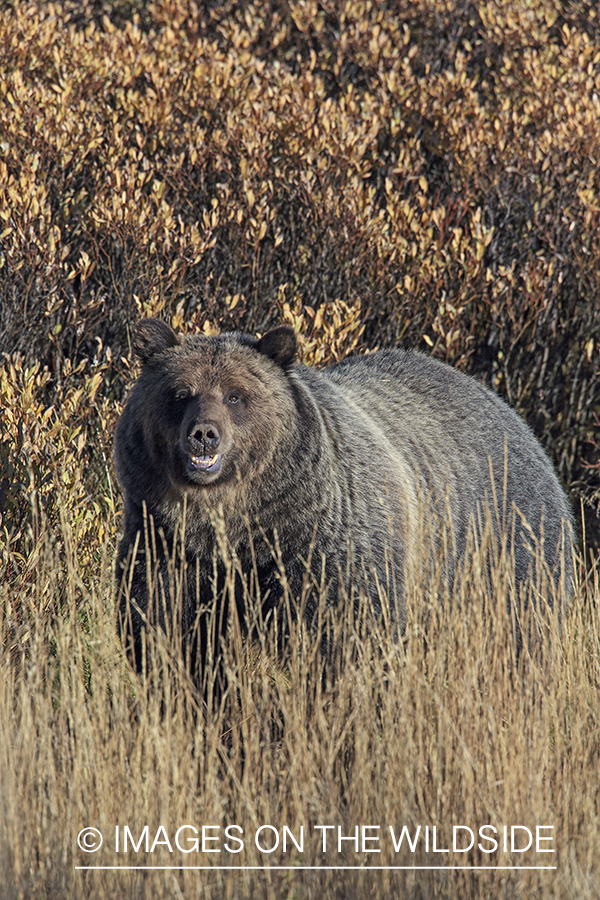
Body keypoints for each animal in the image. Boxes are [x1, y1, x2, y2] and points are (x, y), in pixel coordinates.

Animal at [115, 320, 576, 672]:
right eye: (180, 394)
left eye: (235, 395)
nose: (204, 434)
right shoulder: (168, 549)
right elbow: (163, 631)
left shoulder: (326, 555)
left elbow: (348, 641)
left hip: (504, 551)